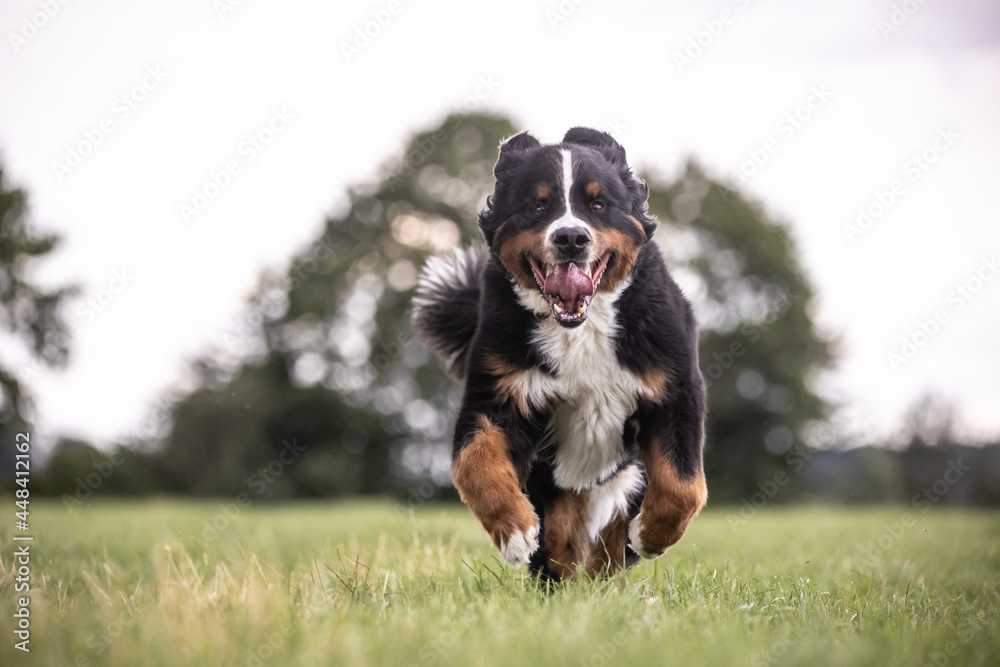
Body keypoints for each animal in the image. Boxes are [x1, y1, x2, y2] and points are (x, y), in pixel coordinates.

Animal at [410, 129, 708, 580]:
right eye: (538, 205)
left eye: (598, 204)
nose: (570, 238)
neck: (579, 331)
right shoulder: (497, 395)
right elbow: (474, 462)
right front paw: (515, 533)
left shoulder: (676, 389)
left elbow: (682, 483)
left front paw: (651, 536)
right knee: (563, 547)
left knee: (607, 546)